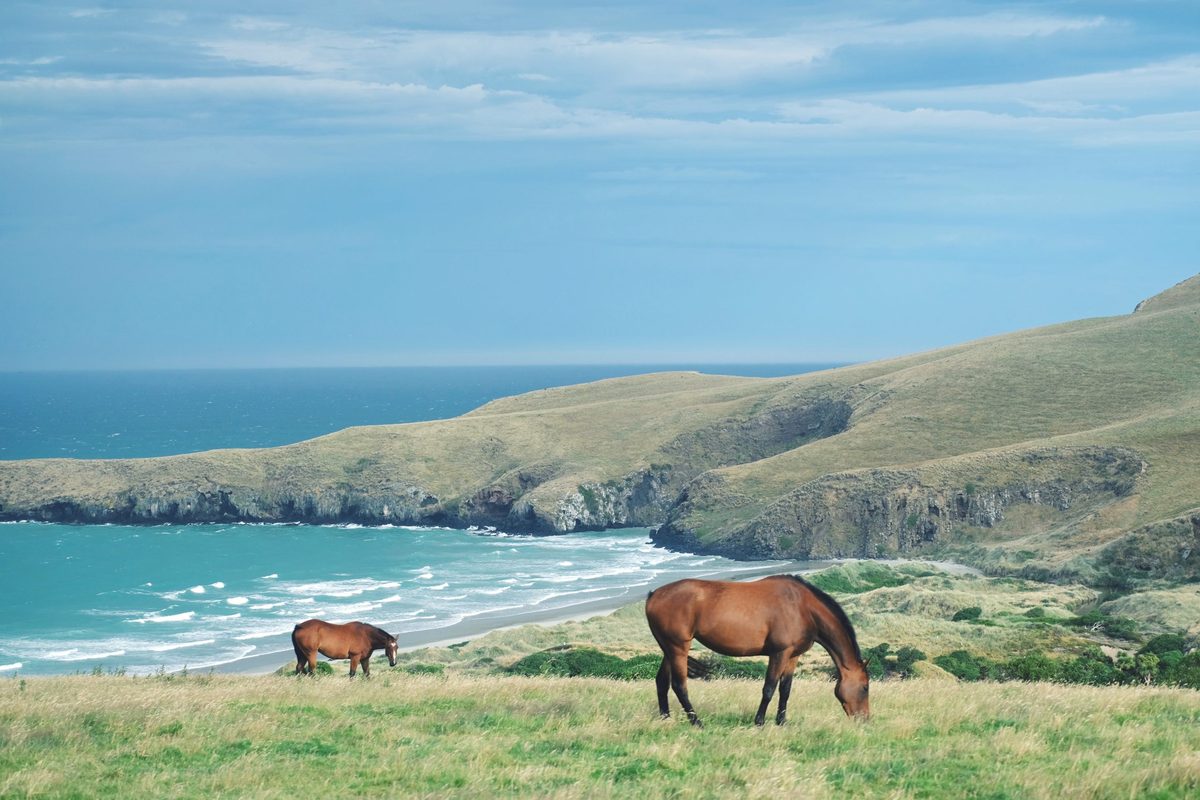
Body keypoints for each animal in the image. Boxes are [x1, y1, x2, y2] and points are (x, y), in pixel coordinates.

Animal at [645, 575, 870, 727]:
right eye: (865, 687)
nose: (865, 719)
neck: (802, 607)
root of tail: (653, 595)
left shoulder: (792, 656)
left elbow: (785, 689)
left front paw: (782, 722)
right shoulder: (779, 653)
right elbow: (769, 688)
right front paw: (759, 721)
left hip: (669, 650)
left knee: (662, 682)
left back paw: (665, 718)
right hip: (678, 648)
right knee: (679, 686)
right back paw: (696, 722)